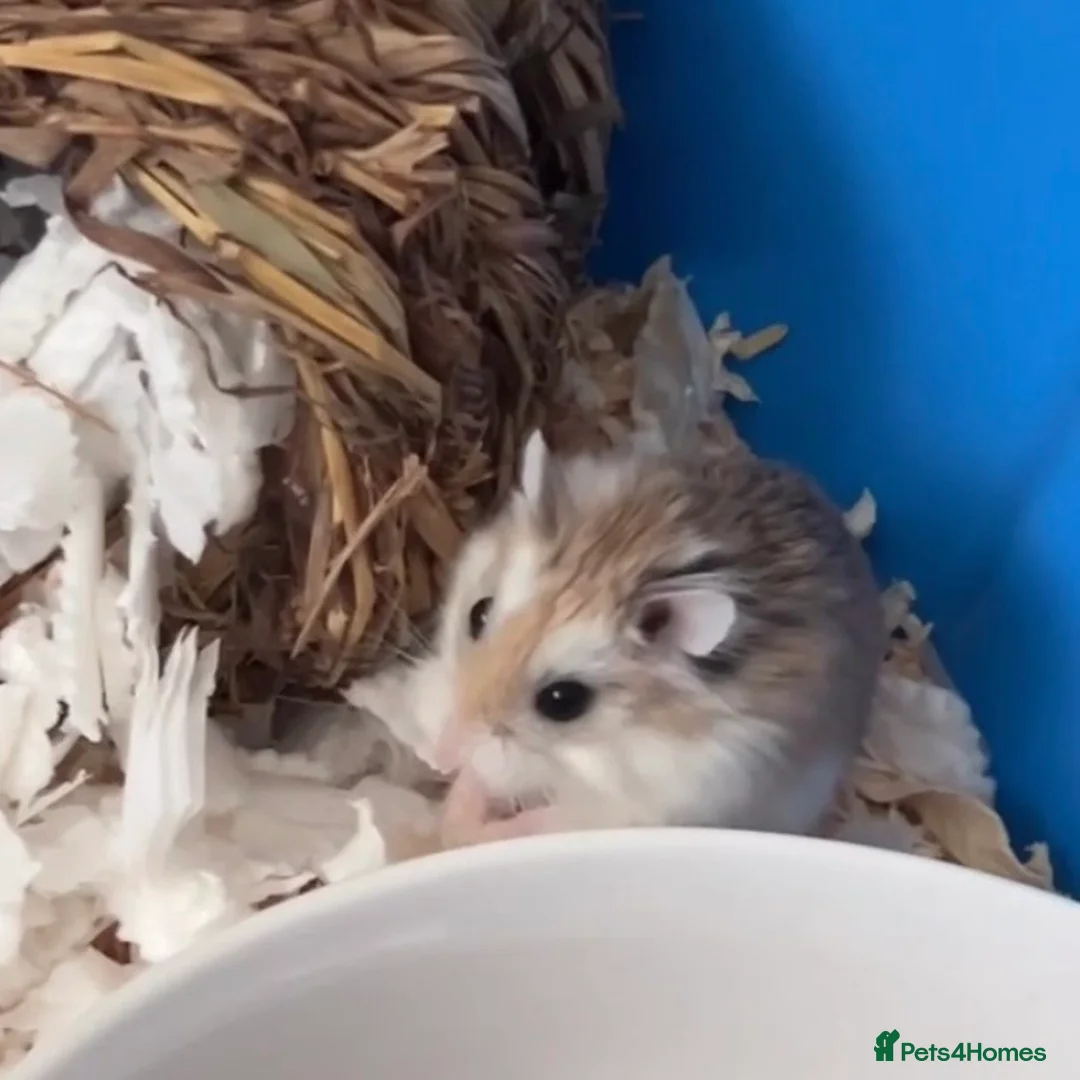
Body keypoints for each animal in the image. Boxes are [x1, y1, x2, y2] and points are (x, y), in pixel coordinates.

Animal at [344, 432, 884, 848]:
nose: (442, 755)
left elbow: (542, 817)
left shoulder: (643, 804)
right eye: (477, 615)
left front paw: (459, 823)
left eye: (563, 701)